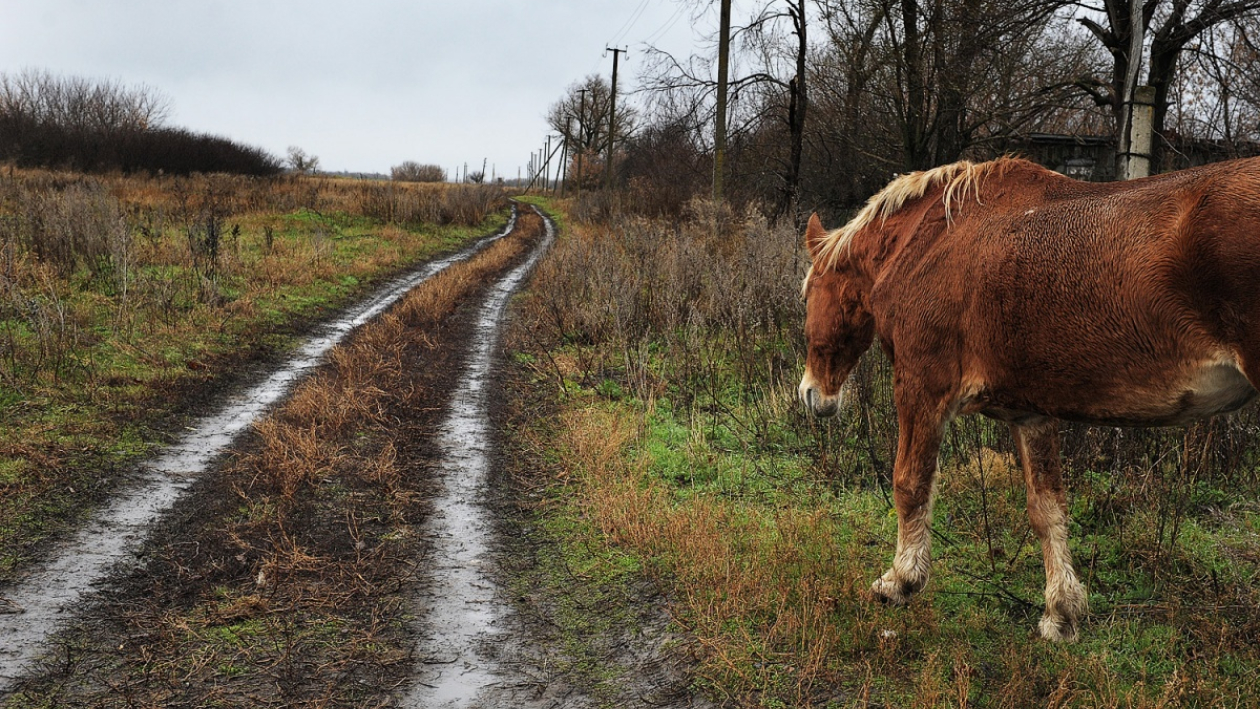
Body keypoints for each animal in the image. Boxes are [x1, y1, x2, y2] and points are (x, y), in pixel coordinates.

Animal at [796, 156, 1260, 644]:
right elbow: (1046, 508)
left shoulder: (923, 386)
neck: (930, 240)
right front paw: (1061, 613)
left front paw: (900, 581)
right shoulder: (1031, 415)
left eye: (807, 293)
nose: (812, 394)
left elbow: (910, 483)